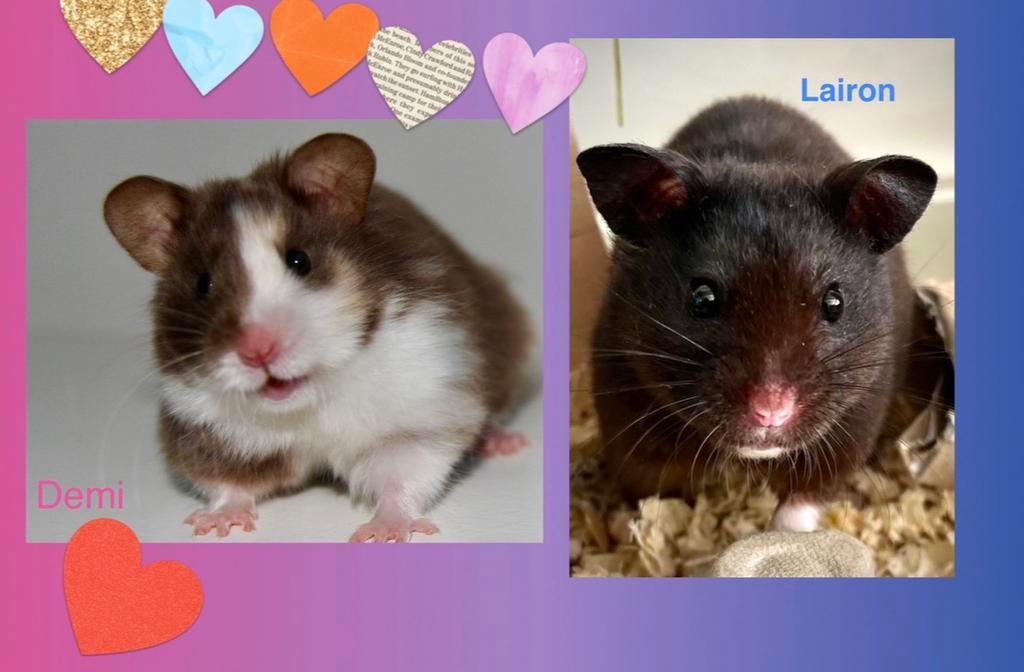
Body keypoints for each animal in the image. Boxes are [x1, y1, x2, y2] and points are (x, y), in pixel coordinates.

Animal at [103, 133, 530, 542]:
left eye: (300, 260)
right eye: (203, 284)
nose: (258, 351)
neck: (309, 401)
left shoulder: (422, 405)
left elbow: (403, 475)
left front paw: (383, 534)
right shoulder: (202, 425)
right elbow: (225, 482)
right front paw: (216, 524)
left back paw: (505, 443)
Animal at [576, 97, 938, 532]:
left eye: (835, 303)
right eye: (702, 299)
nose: (771, 412)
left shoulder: (852, 429)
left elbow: (805, 496)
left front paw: (781, 534)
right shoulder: (630, 423)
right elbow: (654, 495)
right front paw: (641, 526)